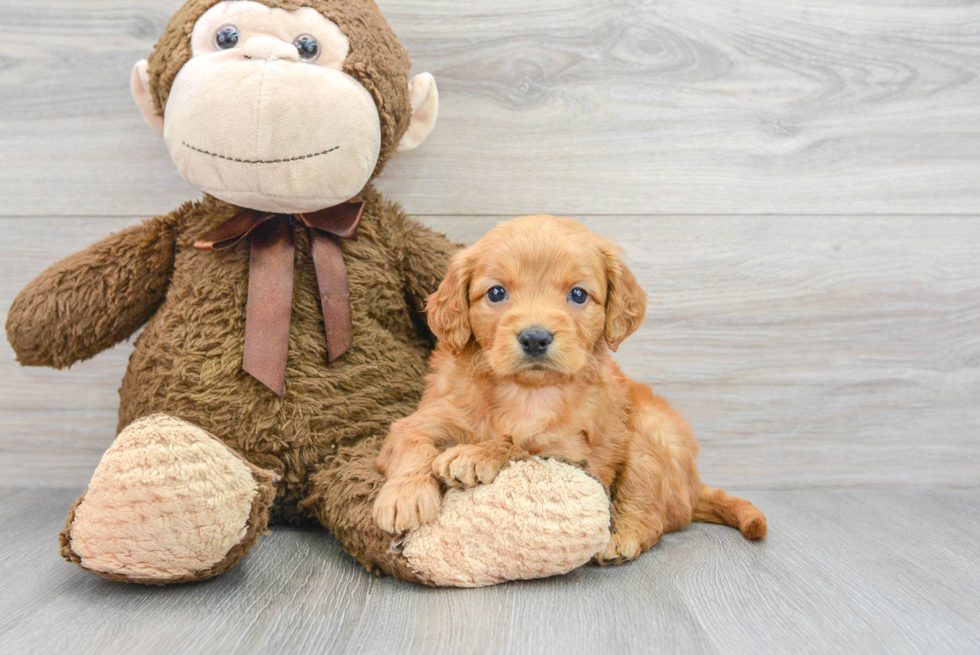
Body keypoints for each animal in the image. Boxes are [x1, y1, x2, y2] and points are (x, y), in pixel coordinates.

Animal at [376, 215, 764, 564]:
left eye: (578, 294)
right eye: (497, 292)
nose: (535, 338)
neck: (528, 392)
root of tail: (695, 482)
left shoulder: (575, 455)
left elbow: (521, 445)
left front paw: (476, 454)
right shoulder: (427, 416)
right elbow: (411, 441)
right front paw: (405, 496)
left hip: (648, 435)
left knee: (654, 514)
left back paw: (622, 538)